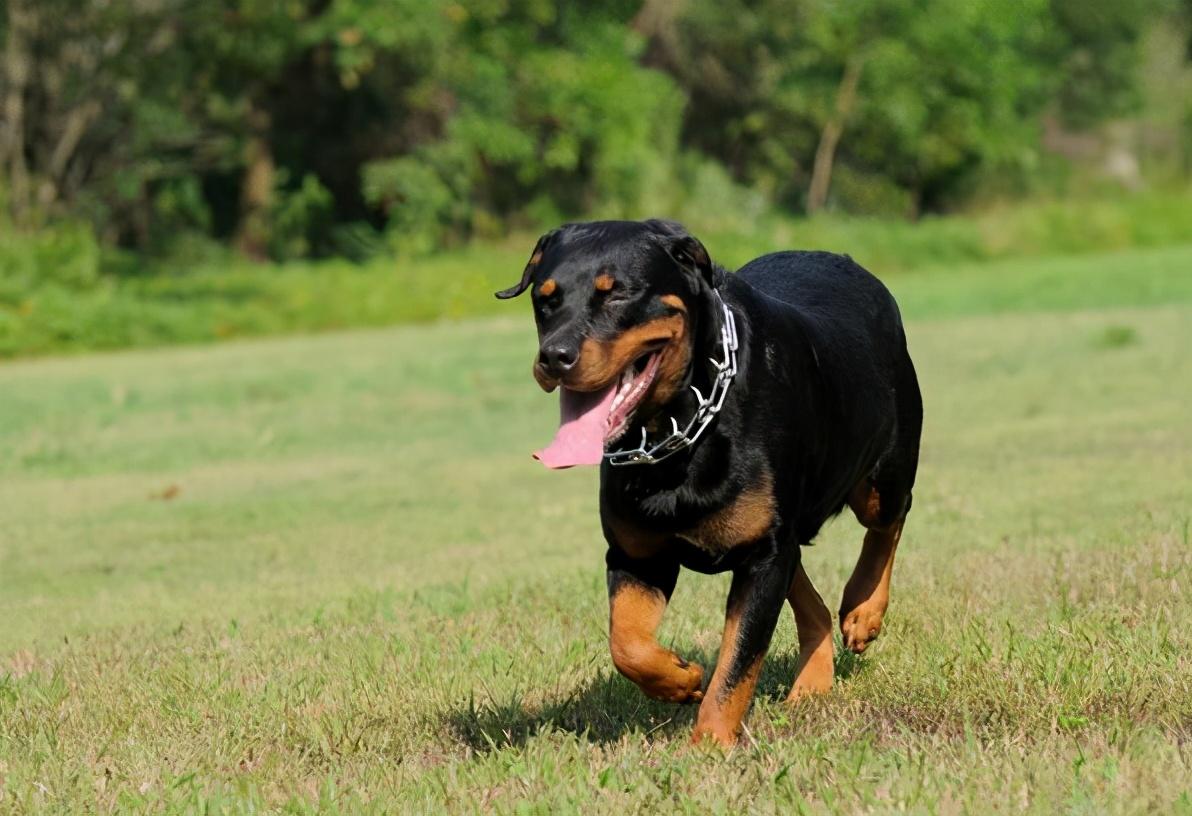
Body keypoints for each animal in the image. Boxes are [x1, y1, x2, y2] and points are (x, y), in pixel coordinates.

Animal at [493, 217, 920, 743]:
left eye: (617, 294)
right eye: (545, 298)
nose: (554, 356)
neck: (678, 431)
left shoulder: (762, 556)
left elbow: (737, 664)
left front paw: (710, 745)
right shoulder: (638, 554)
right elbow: (627, 643)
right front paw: (680, 679)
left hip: (884, 469)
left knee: (889, 521)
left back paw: (863, 609)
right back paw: (813, 680)